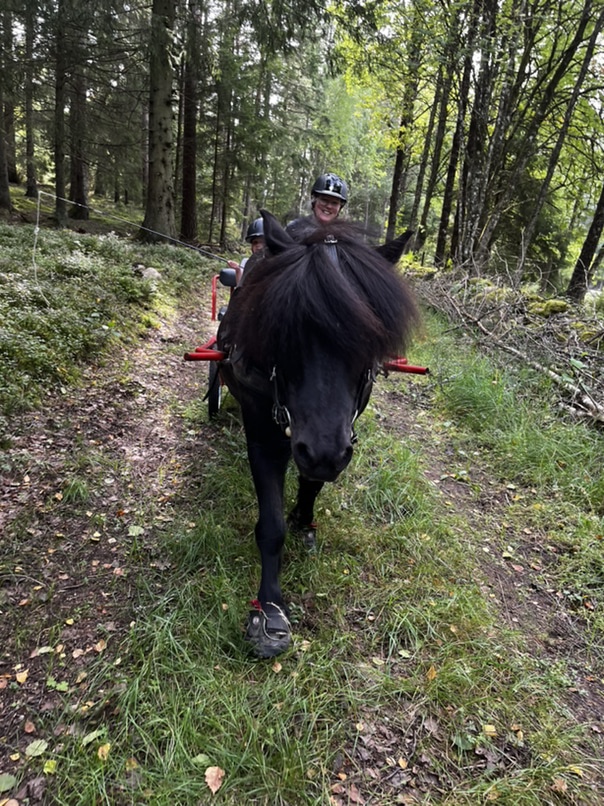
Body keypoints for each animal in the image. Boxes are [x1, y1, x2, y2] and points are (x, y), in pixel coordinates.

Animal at [216, 210, 418, 658]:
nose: (323, 451)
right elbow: (271, 526)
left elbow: (312, 482)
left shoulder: (335, 434)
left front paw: (303, 518)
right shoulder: (266, 434)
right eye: (283, 331)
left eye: (371, 340)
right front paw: (270, 611)